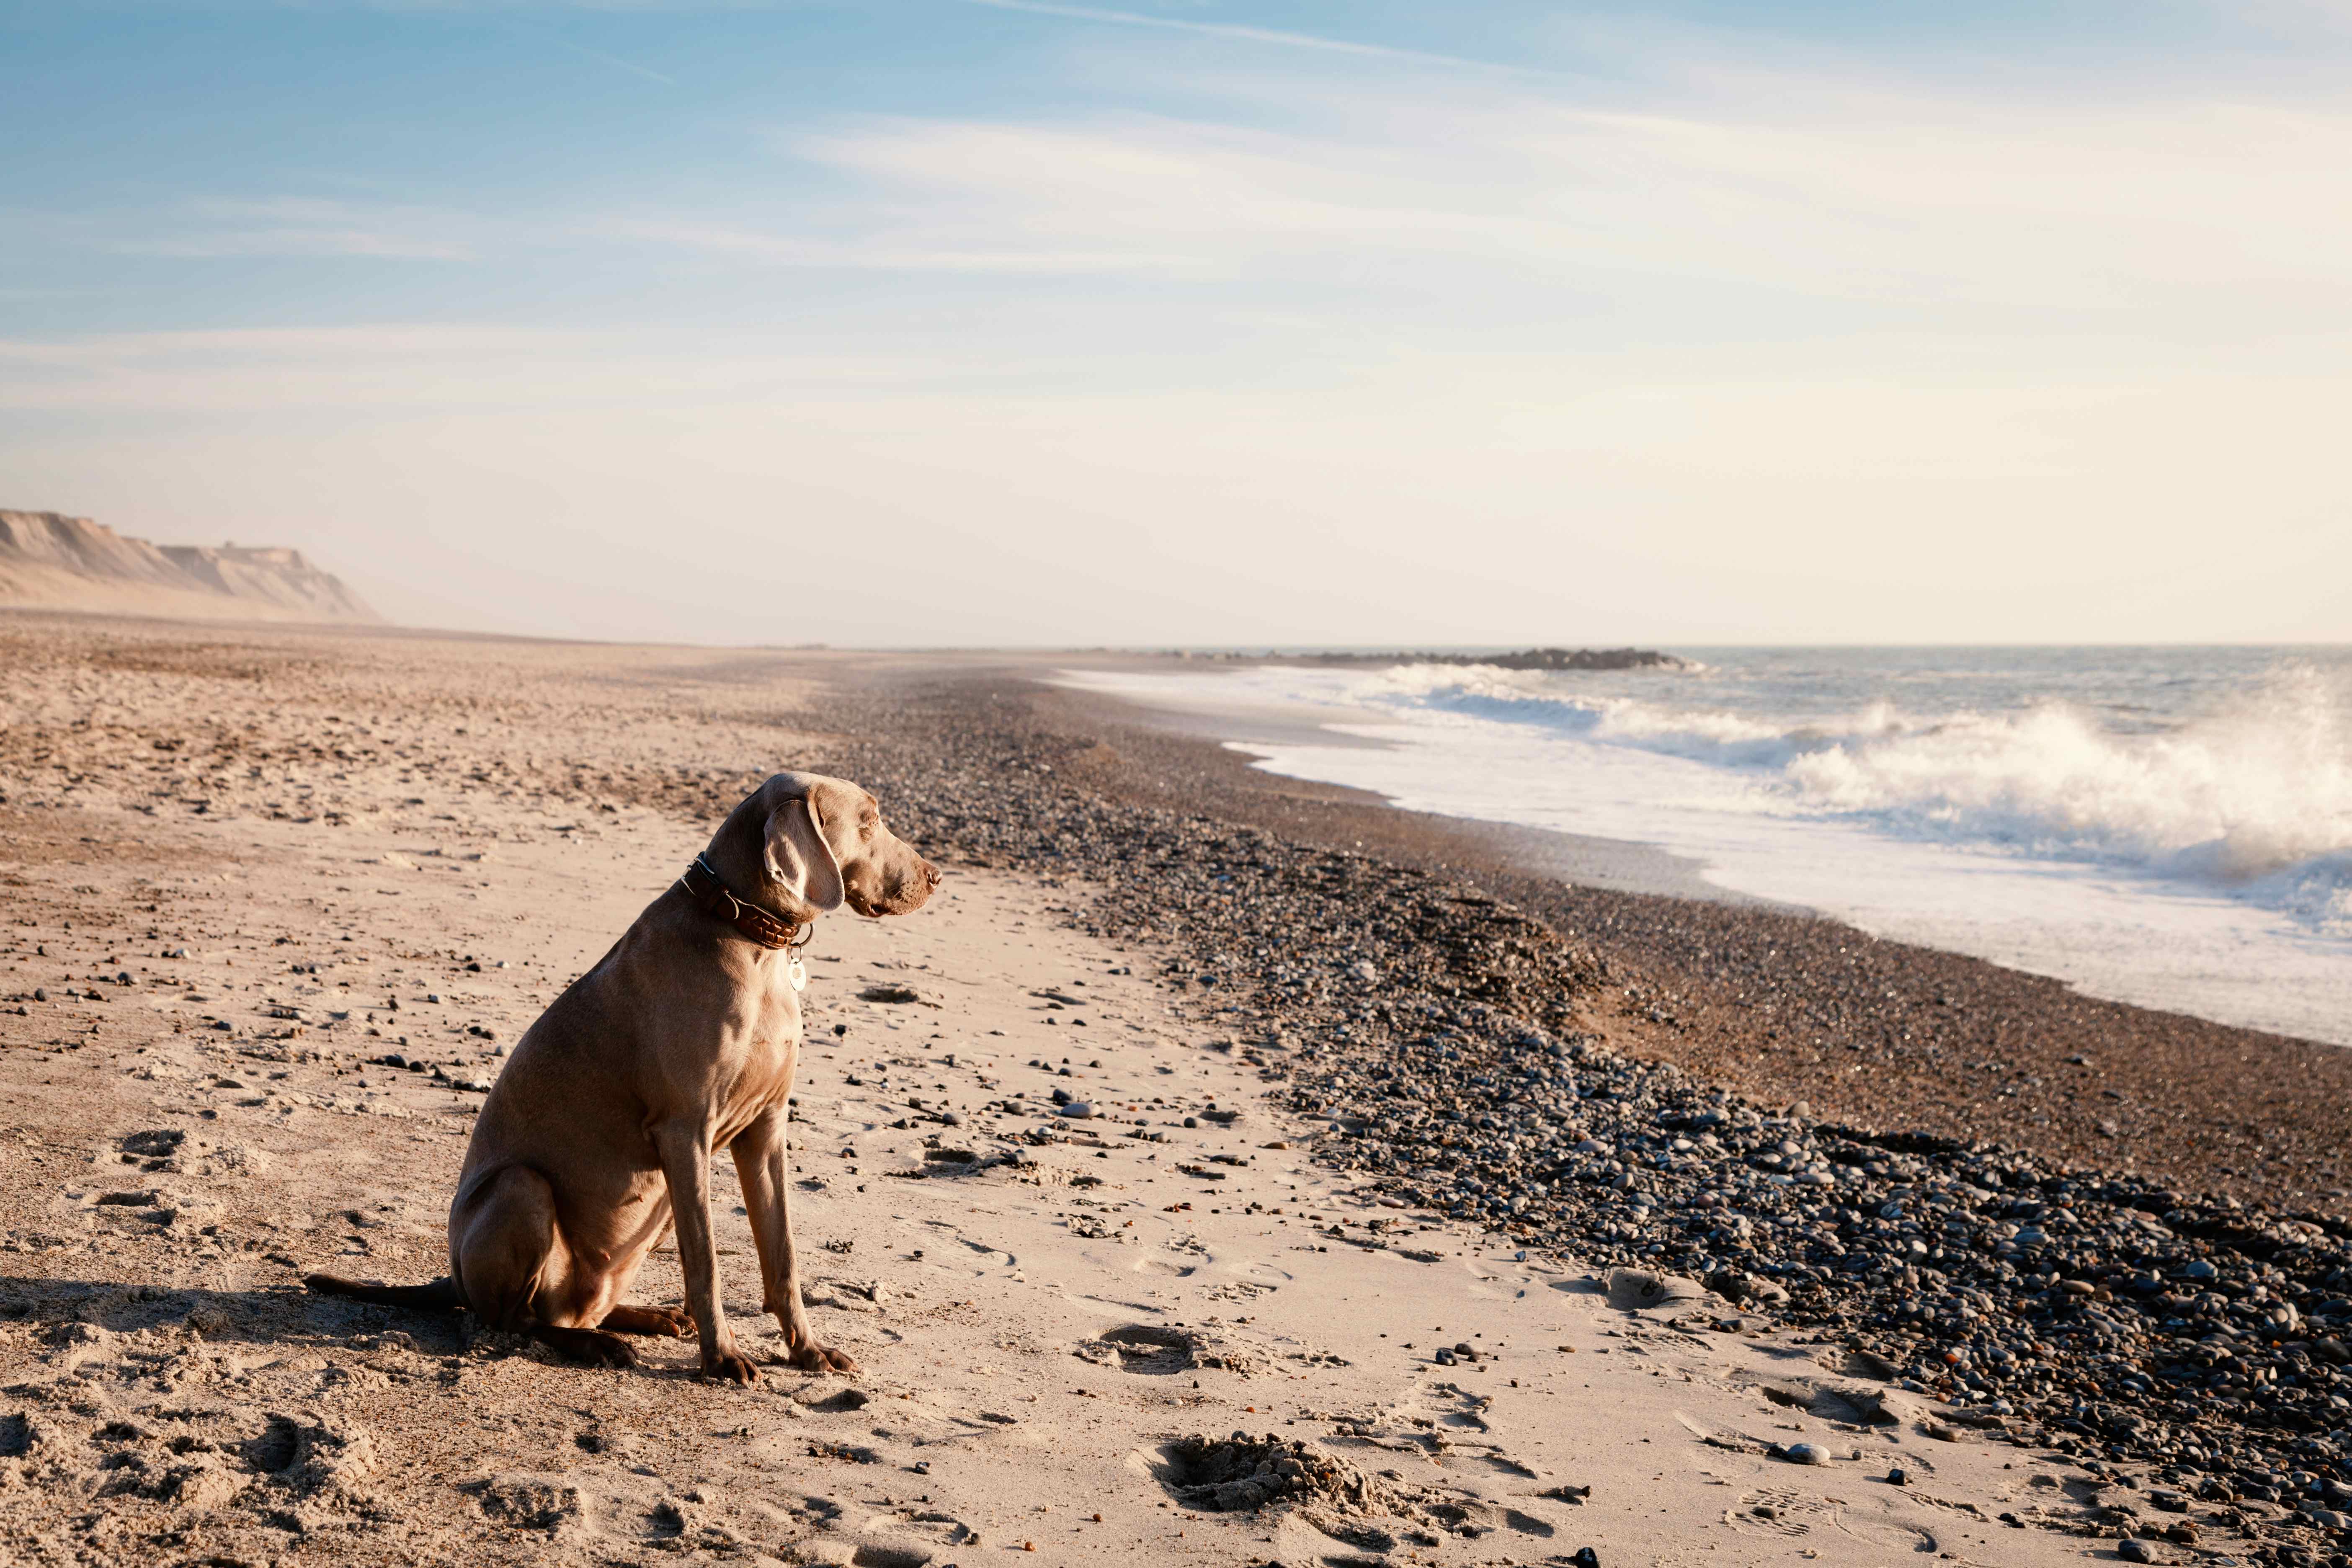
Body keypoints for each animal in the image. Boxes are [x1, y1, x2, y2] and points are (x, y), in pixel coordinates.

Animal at [303, 776, 936, 1382]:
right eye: (869, 820)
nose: (936, 875)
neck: (745, 932)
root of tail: (451, 1279)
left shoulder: (765, 1127)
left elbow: (782, 1256)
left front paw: (809, 1351)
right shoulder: (685, 1131)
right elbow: (705, 1259)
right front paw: (723, 1358)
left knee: (578, 1308)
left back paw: (650, 1318)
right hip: (521, 1187)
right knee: (517, 1321)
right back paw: (598, 1345)